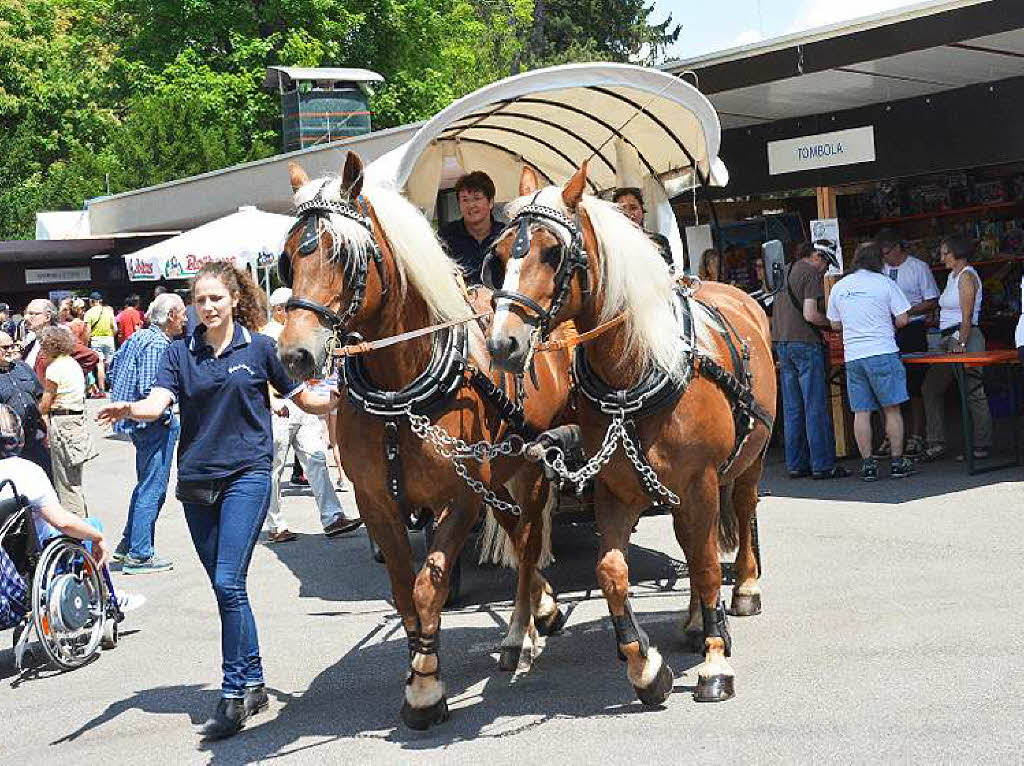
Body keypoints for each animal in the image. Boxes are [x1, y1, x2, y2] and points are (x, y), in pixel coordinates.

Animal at [276, 151, 573, 729]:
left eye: (345, 257)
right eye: (287, 259)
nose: (294, 355)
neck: (401, 392)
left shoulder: (456, 498)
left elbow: (428, 584)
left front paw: (426, 688)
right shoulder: (377, 502)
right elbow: (401, 589)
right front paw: (418, 662)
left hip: (530, 464)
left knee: (528, 541)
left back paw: (521, 631)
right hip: (497, 473)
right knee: (516, 532)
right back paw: (539, 611)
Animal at [483, 164, 770, 708]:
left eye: (552, 253)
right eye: (500, 254)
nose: (501, 343)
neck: (634, 372)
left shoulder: (701, 483)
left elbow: (706, 567)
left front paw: (715, 663)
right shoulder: (615, 488)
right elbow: (612, 573)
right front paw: (644, 666)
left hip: (749, 461)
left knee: (740, 514)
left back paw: (742, 591)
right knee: (690, 543)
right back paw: (696, 620)